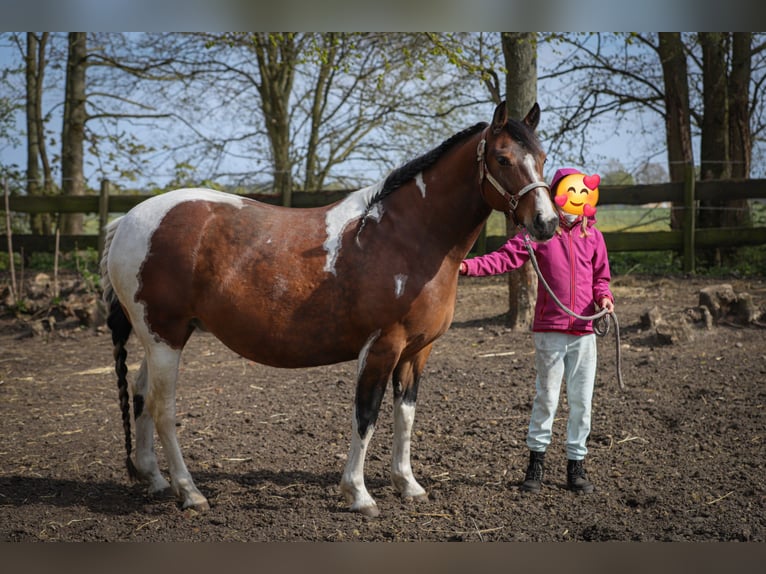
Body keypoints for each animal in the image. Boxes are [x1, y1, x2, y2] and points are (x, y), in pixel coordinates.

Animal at [101, 101, 558, 517]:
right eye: (502, 158)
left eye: (542, 158)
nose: (547, 223)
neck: (405, 237)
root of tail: (126, 222)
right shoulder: (382, 346)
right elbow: (366, 414)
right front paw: (358, 494)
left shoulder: (417, 351)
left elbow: (405, 414)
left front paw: (407, 484)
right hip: (165, 337)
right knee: (162, 408)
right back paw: (190, 492)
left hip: (160, 338)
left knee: (140, 395)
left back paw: (156, 479)